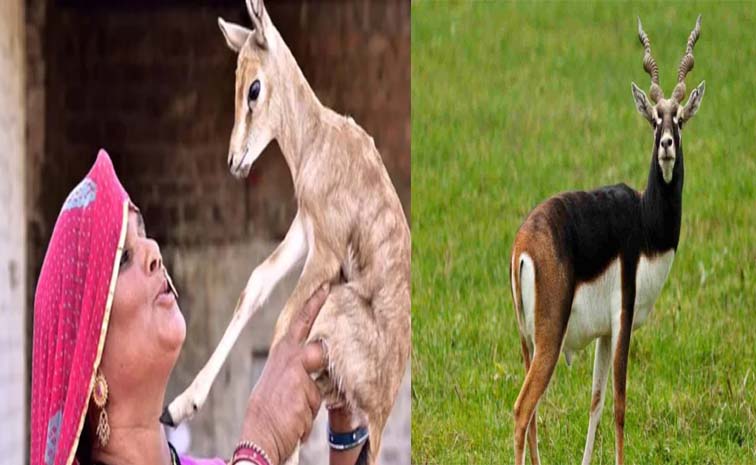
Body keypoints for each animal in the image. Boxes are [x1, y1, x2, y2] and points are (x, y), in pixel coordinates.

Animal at [159, 1, 411, 464]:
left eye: (254, 89)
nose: (234, 161)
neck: (315, 142)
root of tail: (383, 412)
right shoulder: (303, 231)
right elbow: (255, 285)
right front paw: (178, 405)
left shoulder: (326, 252)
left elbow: (283, 322)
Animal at [509, 16, 705, 465]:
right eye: (654, 119)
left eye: (679, 119)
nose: (666, 145)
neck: (645, 221)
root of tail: (524, 248)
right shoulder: (623, 319)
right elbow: (619, 403)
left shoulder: (602, 333)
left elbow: (595, 401)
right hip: (548, 339)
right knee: (523, 410)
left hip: (528, 342)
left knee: (533, 415)